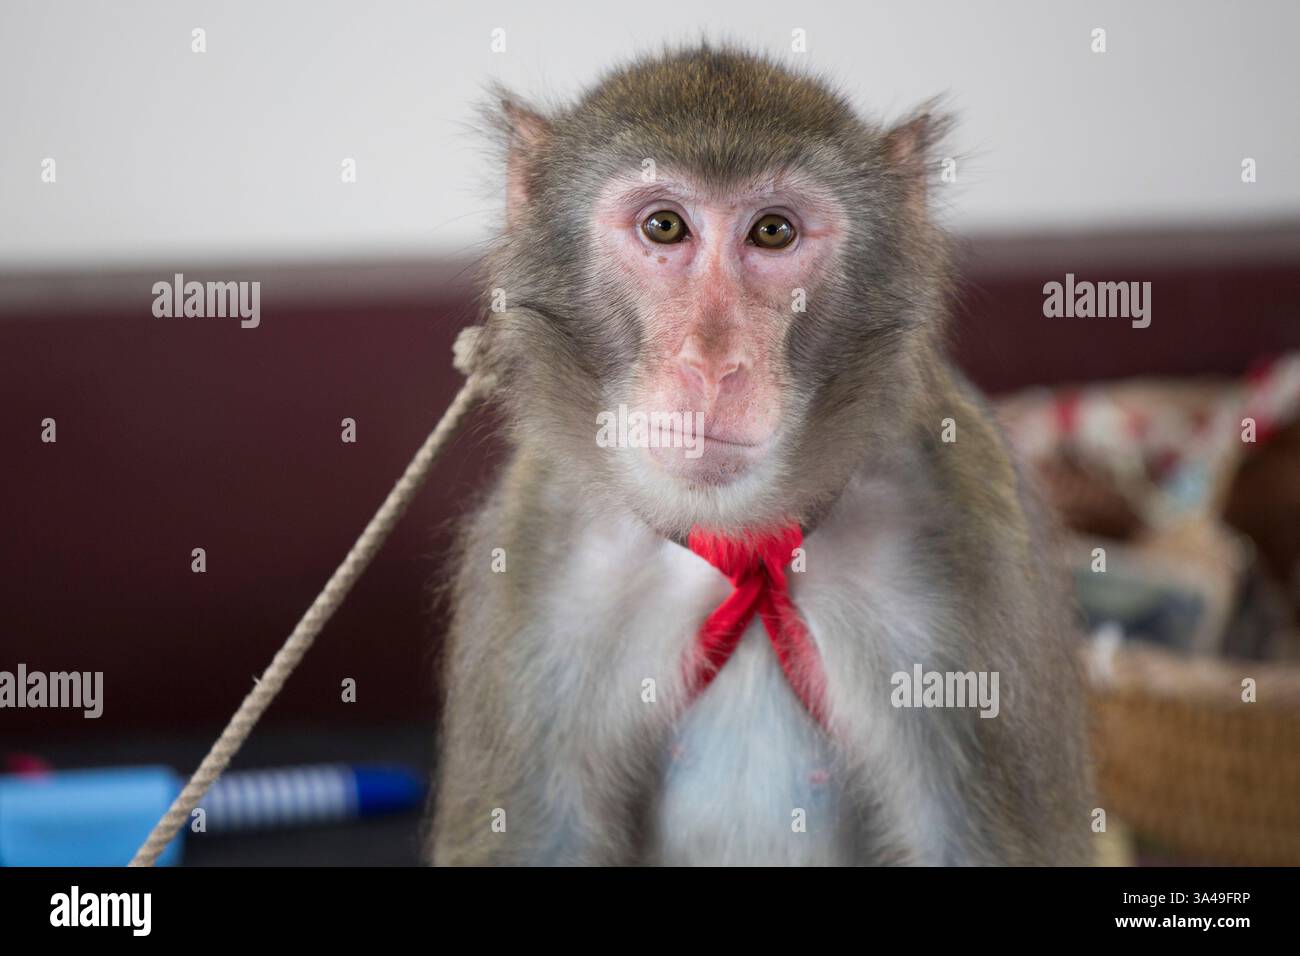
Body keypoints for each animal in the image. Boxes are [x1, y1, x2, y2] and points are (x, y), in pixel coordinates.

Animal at [425, 44, 1094, 866]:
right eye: (665, 226)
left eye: (773, 232)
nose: (713, 365)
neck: (740, 540)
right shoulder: (533, 561)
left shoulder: (973, 535)